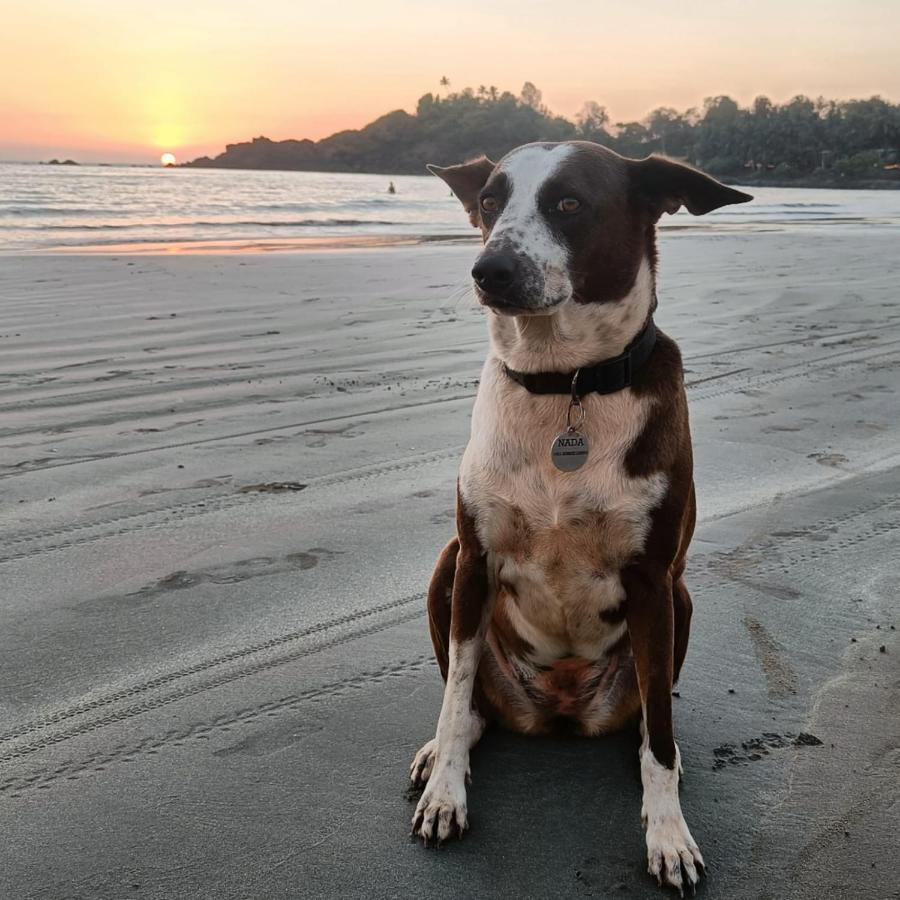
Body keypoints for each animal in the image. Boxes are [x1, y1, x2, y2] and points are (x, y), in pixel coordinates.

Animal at [410, 141, 752, 892]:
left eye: (569, 203)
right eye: (489, 202)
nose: (490, 270)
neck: (565, 385)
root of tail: (560, 709)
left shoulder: (653, 581)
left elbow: (661, 740)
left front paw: (668, 834)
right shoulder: (474, 560)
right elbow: (454, 696)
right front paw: (446, 793)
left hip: (678, 602)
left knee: (652, 722)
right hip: (447, 568)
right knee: (471, 706)